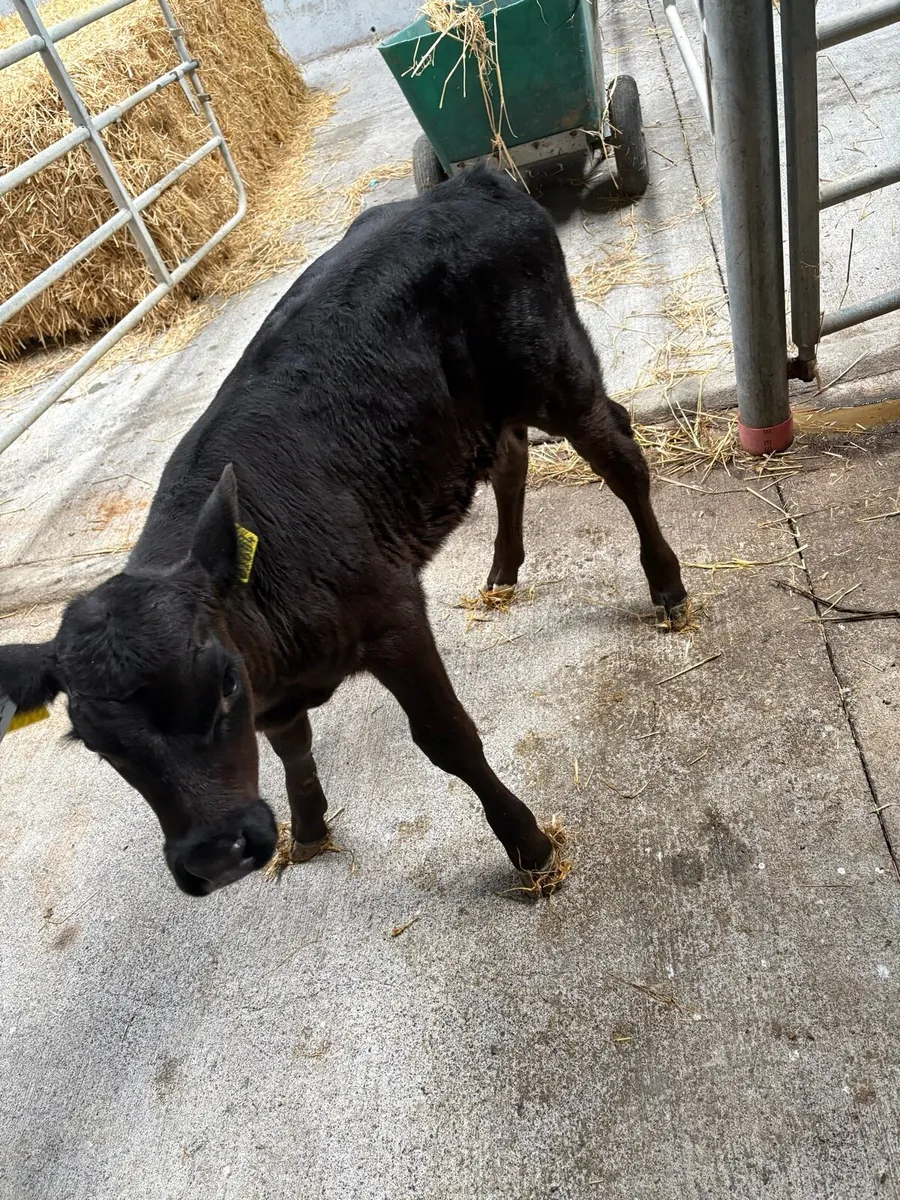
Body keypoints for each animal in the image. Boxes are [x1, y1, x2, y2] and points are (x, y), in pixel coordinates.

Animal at [0, 166, 687, 897]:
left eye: (223, 682)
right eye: (99, 745)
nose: (216, 856)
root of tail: (470, 183)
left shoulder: (394, 614)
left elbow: (447, 737)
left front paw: (528, 848)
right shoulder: (275, 695)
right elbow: (290, 748)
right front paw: (307, 829)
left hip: (552, 368)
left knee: (618, 452)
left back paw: (667, 588)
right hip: (483, 409)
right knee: (511, 457)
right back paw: (503, 572)